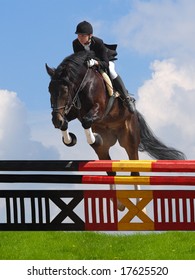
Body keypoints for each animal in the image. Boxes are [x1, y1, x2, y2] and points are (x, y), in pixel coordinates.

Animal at [45, 51, 186, 211]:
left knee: (135, 171)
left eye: (65, 90)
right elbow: (67, 124)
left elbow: (86, 121)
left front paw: (94, 138)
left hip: (130, 140)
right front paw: (69, 139)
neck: (83, 85)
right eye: (49, 90)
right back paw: (118, 203)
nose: (56, 120)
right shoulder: (72, 112)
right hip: (104, 148)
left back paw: (139, 206)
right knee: (110, 170)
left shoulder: (98, 109)